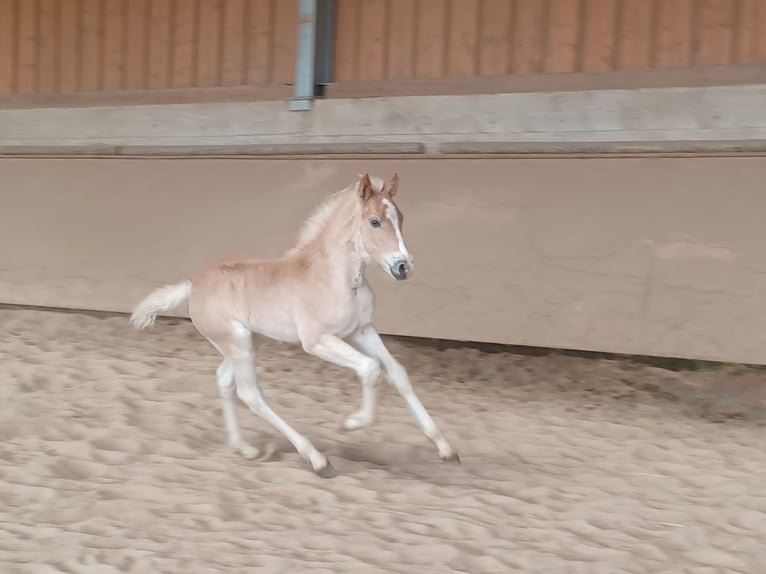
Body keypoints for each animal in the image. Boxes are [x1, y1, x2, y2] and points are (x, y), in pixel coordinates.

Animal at [129, 173, 460, 480]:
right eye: (375, 221)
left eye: (401, 218)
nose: (404, 267)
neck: (336, 278)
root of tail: (193, 285)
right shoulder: (316, 341)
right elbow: (370, 369)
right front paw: (351, 422)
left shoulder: (362, 330)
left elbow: (397, 373)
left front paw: (446, 449)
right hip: (237, 342)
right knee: (251, 395)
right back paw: (317, 459)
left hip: (249, 340)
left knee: (225, 381)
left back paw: (244, 448)